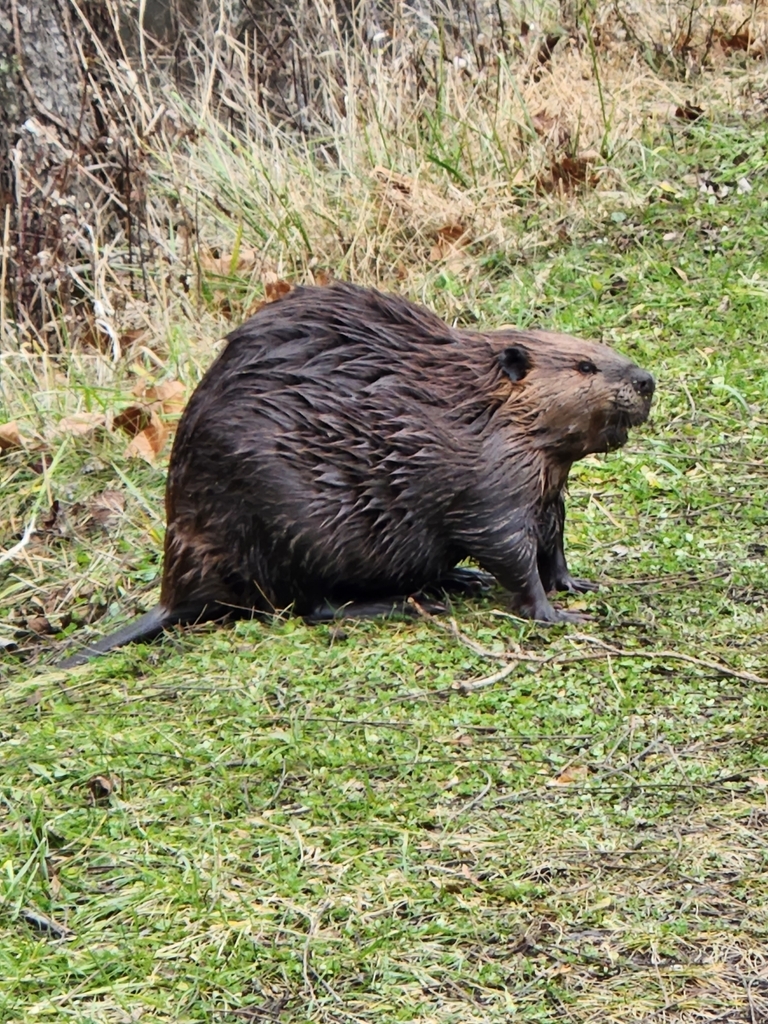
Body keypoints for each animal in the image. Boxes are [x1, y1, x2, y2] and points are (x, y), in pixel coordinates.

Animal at [57, 280, 655, 667]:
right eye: (584, 366)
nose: (645, 380)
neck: (475, 408)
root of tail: (172, 595)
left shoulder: (545, 485)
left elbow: (553, 537)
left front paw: (578, 582)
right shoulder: (488, 480)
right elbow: (507, 548)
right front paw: (556, 614)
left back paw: (455, 580)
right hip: (288, 522)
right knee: (311, 604)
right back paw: (408, 602)